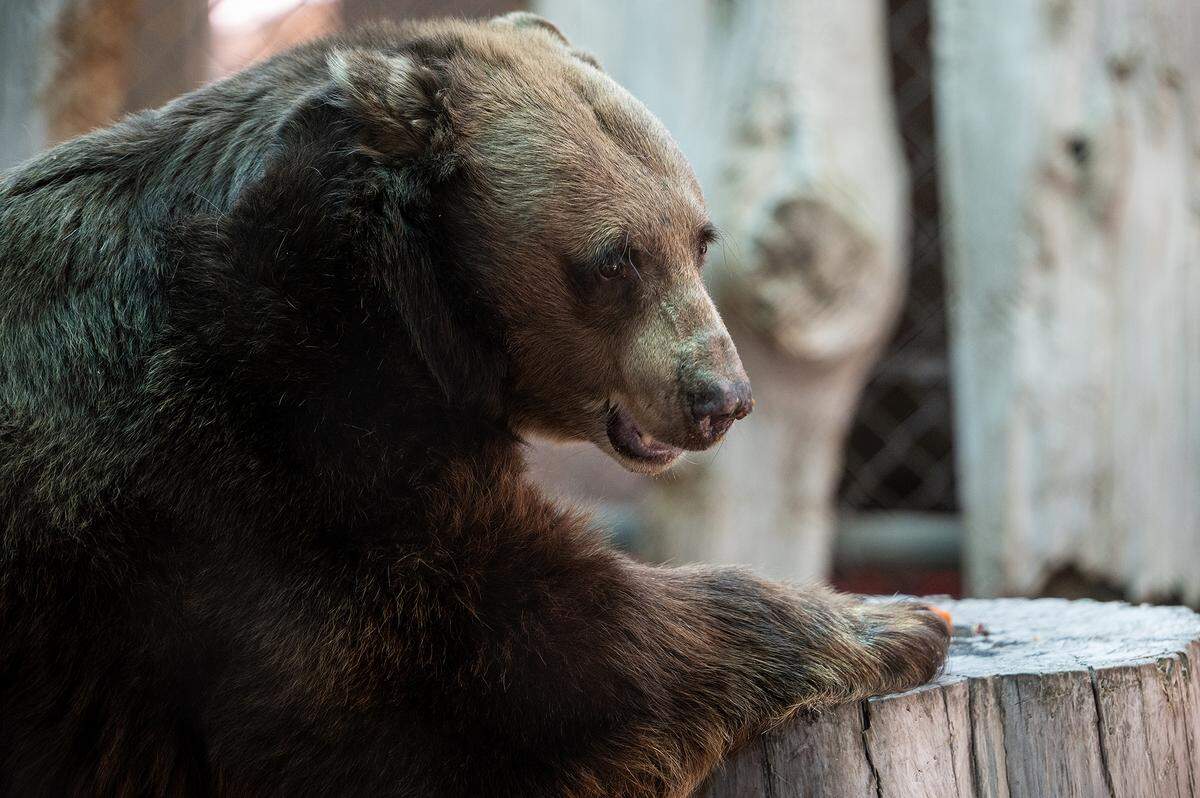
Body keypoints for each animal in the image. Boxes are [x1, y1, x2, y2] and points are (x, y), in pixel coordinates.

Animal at [0, 13, 949, 797]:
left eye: (699, 238)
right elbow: (503, 659)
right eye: (615, 260)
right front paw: (893, 621)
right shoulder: (249, 447)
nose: (721, 396)